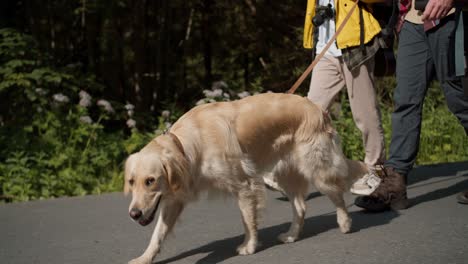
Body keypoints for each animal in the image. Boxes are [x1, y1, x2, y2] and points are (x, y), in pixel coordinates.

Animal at [124, 92, 370, 262]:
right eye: (131, 182)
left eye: (150, 180)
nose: (134, 214)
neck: (187, 145)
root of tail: (319, 109)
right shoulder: (174, 200)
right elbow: (157, 234)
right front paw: (144, 258)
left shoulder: (244, 184)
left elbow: (247, 220)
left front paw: (249, 246)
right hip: (284, 174)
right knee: (301, 207)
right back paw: (291, 235)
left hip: (318, 169)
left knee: (337, 194)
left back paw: (345, 223)